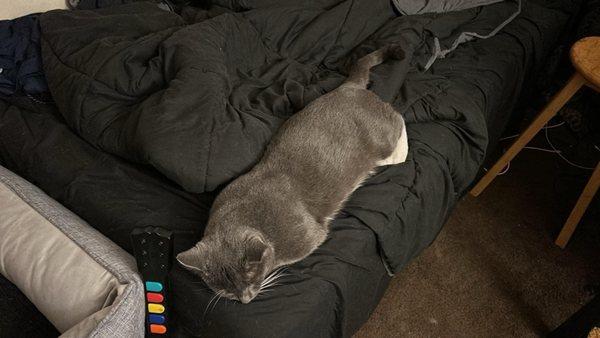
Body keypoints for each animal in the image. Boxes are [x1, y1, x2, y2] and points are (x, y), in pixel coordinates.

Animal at [177, 45, 408, 304]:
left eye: (251, 278)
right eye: (225, 290)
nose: (245, 299)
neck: (242, 213)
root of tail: (349, 87)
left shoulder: (307, 237)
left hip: (380, 137)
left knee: (398, 118)